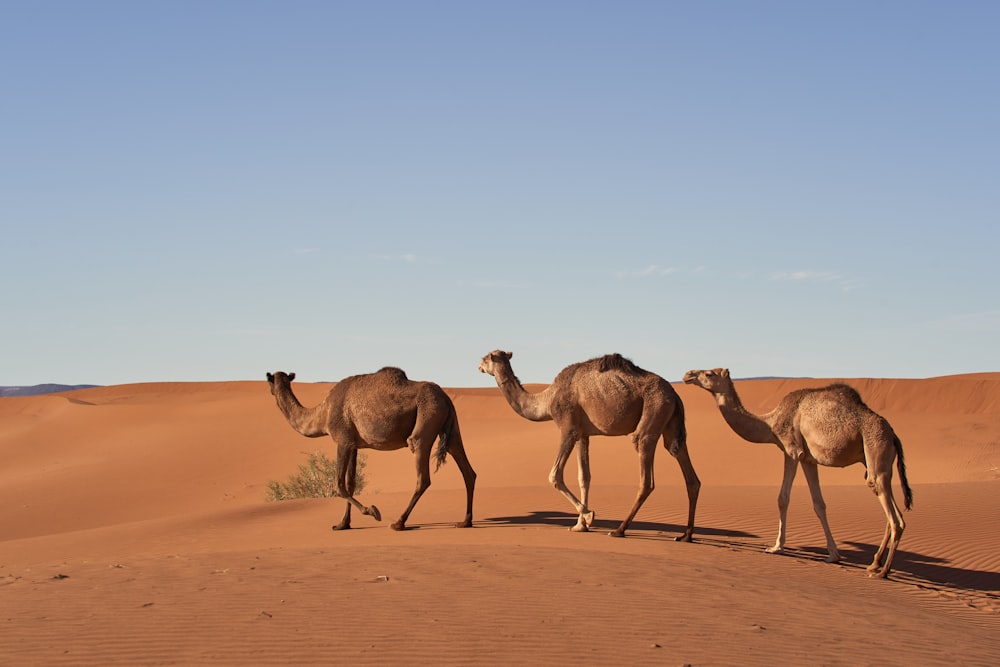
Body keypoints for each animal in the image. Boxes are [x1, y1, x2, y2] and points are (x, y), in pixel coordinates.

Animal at [266, 366, 476, 532]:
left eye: (270, 381)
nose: (272, 389)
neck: (322, 414)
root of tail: (445, 397)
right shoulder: (353, 444)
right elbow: (350, 483)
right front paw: (343, 524)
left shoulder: (342, 440)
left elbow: (338, 484)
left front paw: (373, 511)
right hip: (450, 425)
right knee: (467, 469)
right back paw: (465, 521)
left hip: (426, 420)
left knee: (422, 473)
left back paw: (399, 523)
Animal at [478, 352, 700, 540]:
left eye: (486, 357)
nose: (478, 365)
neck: (547, 400)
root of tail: (674, 393)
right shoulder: (583, 434)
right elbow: (584, 477)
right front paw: (579, 525)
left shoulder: (568, 429)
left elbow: (555, 475)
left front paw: (588, 515)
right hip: (671, 425)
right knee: (687, 469)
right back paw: (686, 535)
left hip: (653, 412)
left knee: (646, 476)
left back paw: (619, 530)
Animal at [684, 368, 912, 576]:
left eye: (710, 373)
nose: (688, 375)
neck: (770, 423)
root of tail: (893, 435)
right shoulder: (808, 459)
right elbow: (819, 504)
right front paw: (833, 555)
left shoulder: (791, 450)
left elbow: (783, 498)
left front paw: (776, 547)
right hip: (875, 462)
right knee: (889, 508)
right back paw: (874, 564)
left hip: (875, 450)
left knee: (896, 519)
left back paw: (882, 572)